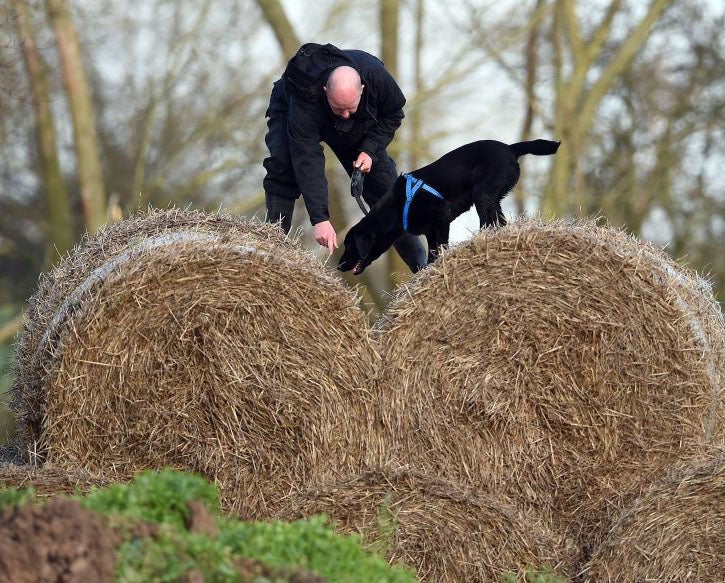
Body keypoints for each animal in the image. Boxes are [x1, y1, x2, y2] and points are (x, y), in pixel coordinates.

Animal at [338, 138, 560, 274]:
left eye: (350, 245)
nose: (339, 266)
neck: (396, 207)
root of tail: (510, 147)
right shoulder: (429, 231)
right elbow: (431, 254)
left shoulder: (442, 217)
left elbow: (440, 248)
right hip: (490, 198)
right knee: (499, 222)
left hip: (482, 193)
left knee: (487, 222)